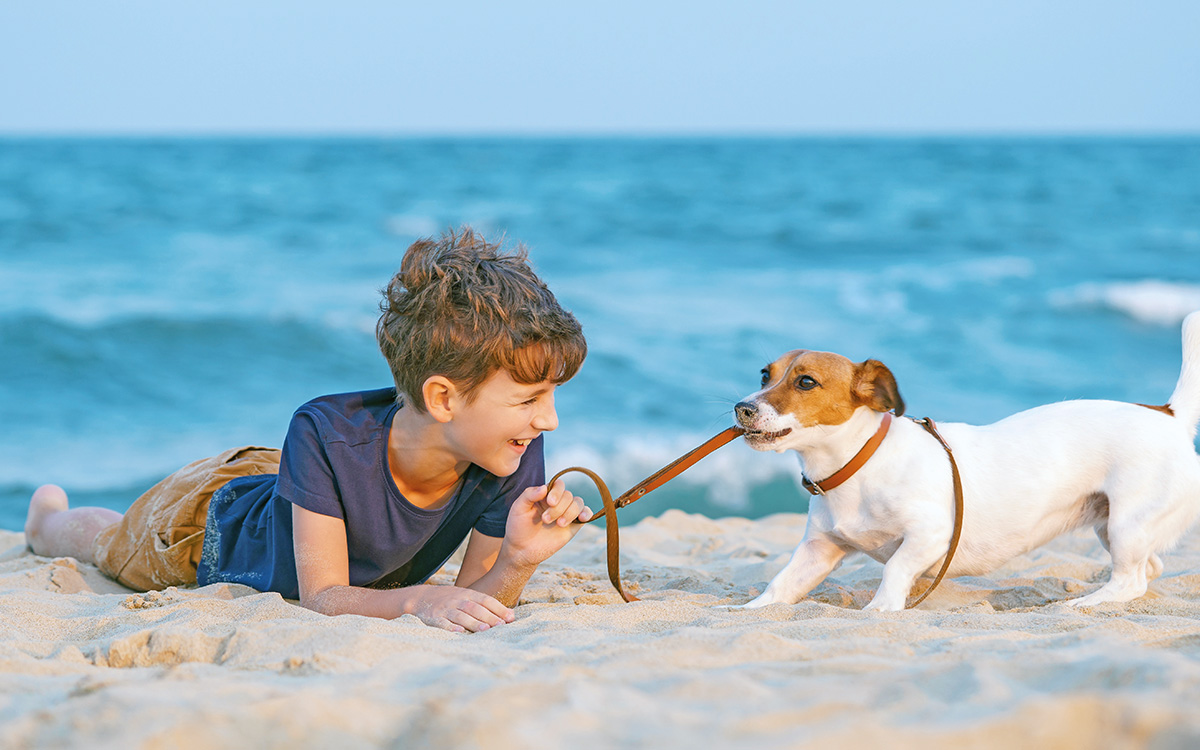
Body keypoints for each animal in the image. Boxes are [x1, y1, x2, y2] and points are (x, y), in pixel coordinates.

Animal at [729, 309, 1200, 609]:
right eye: (765, 375)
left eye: (806, 382)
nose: (742, 409)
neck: (860, 463)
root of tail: (1169, 415)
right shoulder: (818, 551)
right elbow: (779, 586)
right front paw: (746, 611)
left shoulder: (931, 535)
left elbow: (895, 569)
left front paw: (880, 610)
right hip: (1112, 525)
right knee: (1151, 568)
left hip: (1126, 525)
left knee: (1130, 581)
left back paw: (1085, 603)